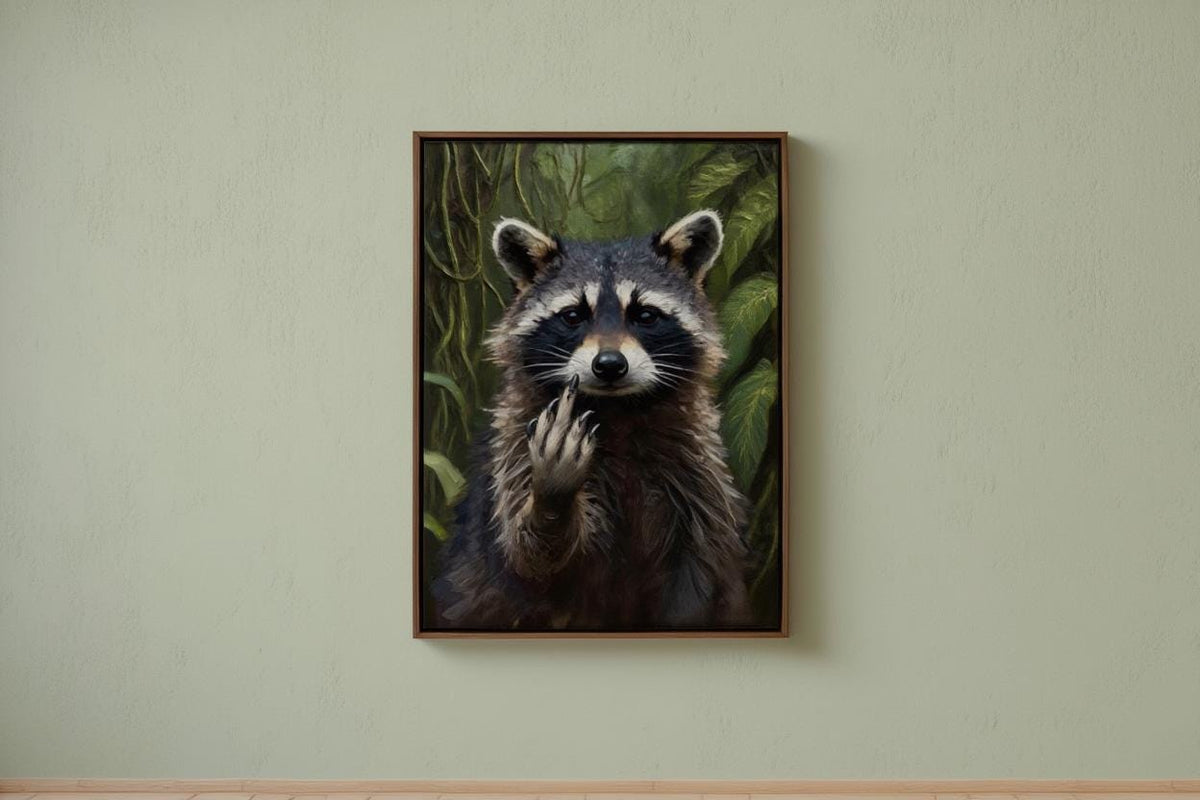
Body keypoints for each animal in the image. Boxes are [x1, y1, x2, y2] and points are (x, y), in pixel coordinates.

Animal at [432, 210, 751, 630]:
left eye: (645, 315)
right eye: (572, 316)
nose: (610, 365)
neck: (617, 410)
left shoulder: (696, 472)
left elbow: (700, 567)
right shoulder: (513, 447)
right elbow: (529, 557)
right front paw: (552, 496)